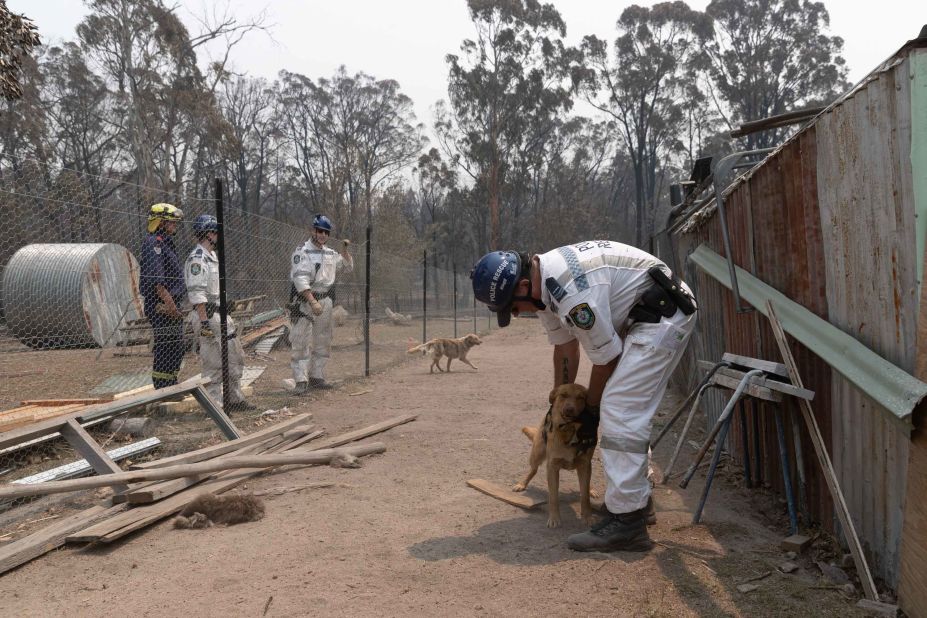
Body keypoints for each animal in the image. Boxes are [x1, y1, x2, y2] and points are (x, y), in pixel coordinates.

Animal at [512, 384, 600, 524]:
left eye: (581, 397)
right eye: (563, 395)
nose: (569, 409)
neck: (569, 431)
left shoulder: (585, 464)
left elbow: (585, 495)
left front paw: (587, 517)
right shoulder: (552, 467)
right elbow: (553, 496)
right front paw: (554, 518)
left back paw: (591, 489)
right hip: (537, 454)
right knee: (533, 470)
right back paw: (522, 484)